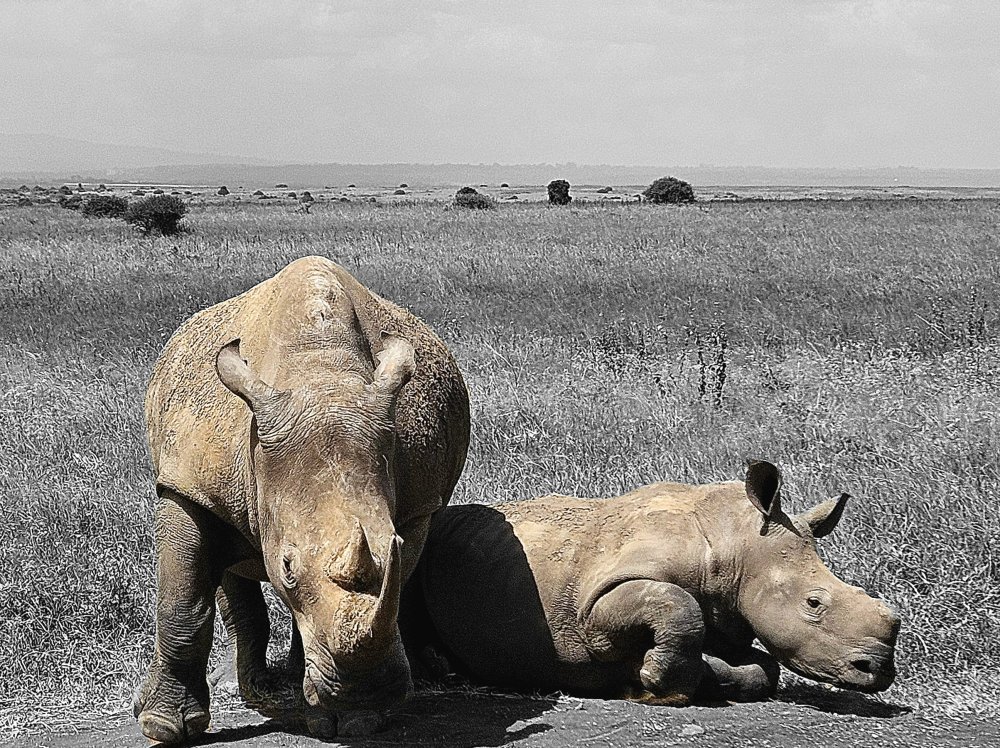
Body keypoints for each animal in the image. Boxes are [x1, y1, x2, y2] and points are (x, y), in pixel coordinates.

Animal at [134, 258, 472, 744]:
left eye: (397, 545)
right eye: (287, 567)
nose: (363, 691)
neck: (320, 374)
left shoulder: (416, 506)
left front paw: (355, 718)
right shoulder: (188, 487)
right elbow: (181, 605)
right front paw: (162, 726)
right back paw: (249, 690)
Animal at [406, 458, 900, 704]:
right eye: (814, 604)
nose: (877, 670)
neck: (735, 545)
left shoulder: (727, 613)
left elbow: (765, 668)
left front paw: (714, 676)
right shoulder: (591, 608)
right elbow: (676, 606)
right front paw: (657, 682)